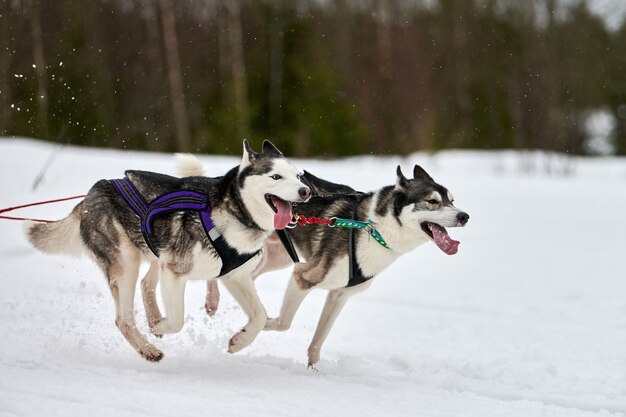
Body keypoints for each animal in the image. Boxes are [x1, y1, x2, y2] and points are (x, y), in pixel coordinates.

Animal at [26, 141, 310, 360]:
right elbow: (178, 320)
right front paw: (160, 324)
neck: (234, 214)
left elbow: (260, 315)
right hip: (126, 263)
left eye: (298, 175)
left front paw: (240, 341)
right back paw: (148, 349)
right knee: (123, 319)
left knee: (145, 284)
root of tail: (92, 194)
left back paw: (153, 320)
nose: (306, 191)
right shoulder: (175, 272)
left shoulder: (234, 276)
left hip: (154, 254)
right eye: (276, 177)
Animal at [190, 158, 468, 366]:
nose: (464, 216)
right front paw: (248, 332)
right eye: (432, 201)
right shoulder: (303, 275)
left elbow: (318, 339)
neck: (374, 228)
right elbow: (282, 323)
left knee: (238, 276)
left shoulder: (339, 294)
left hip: (273, 258)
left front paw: (313, 369)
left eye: (452, 200)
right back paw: (214, 301)